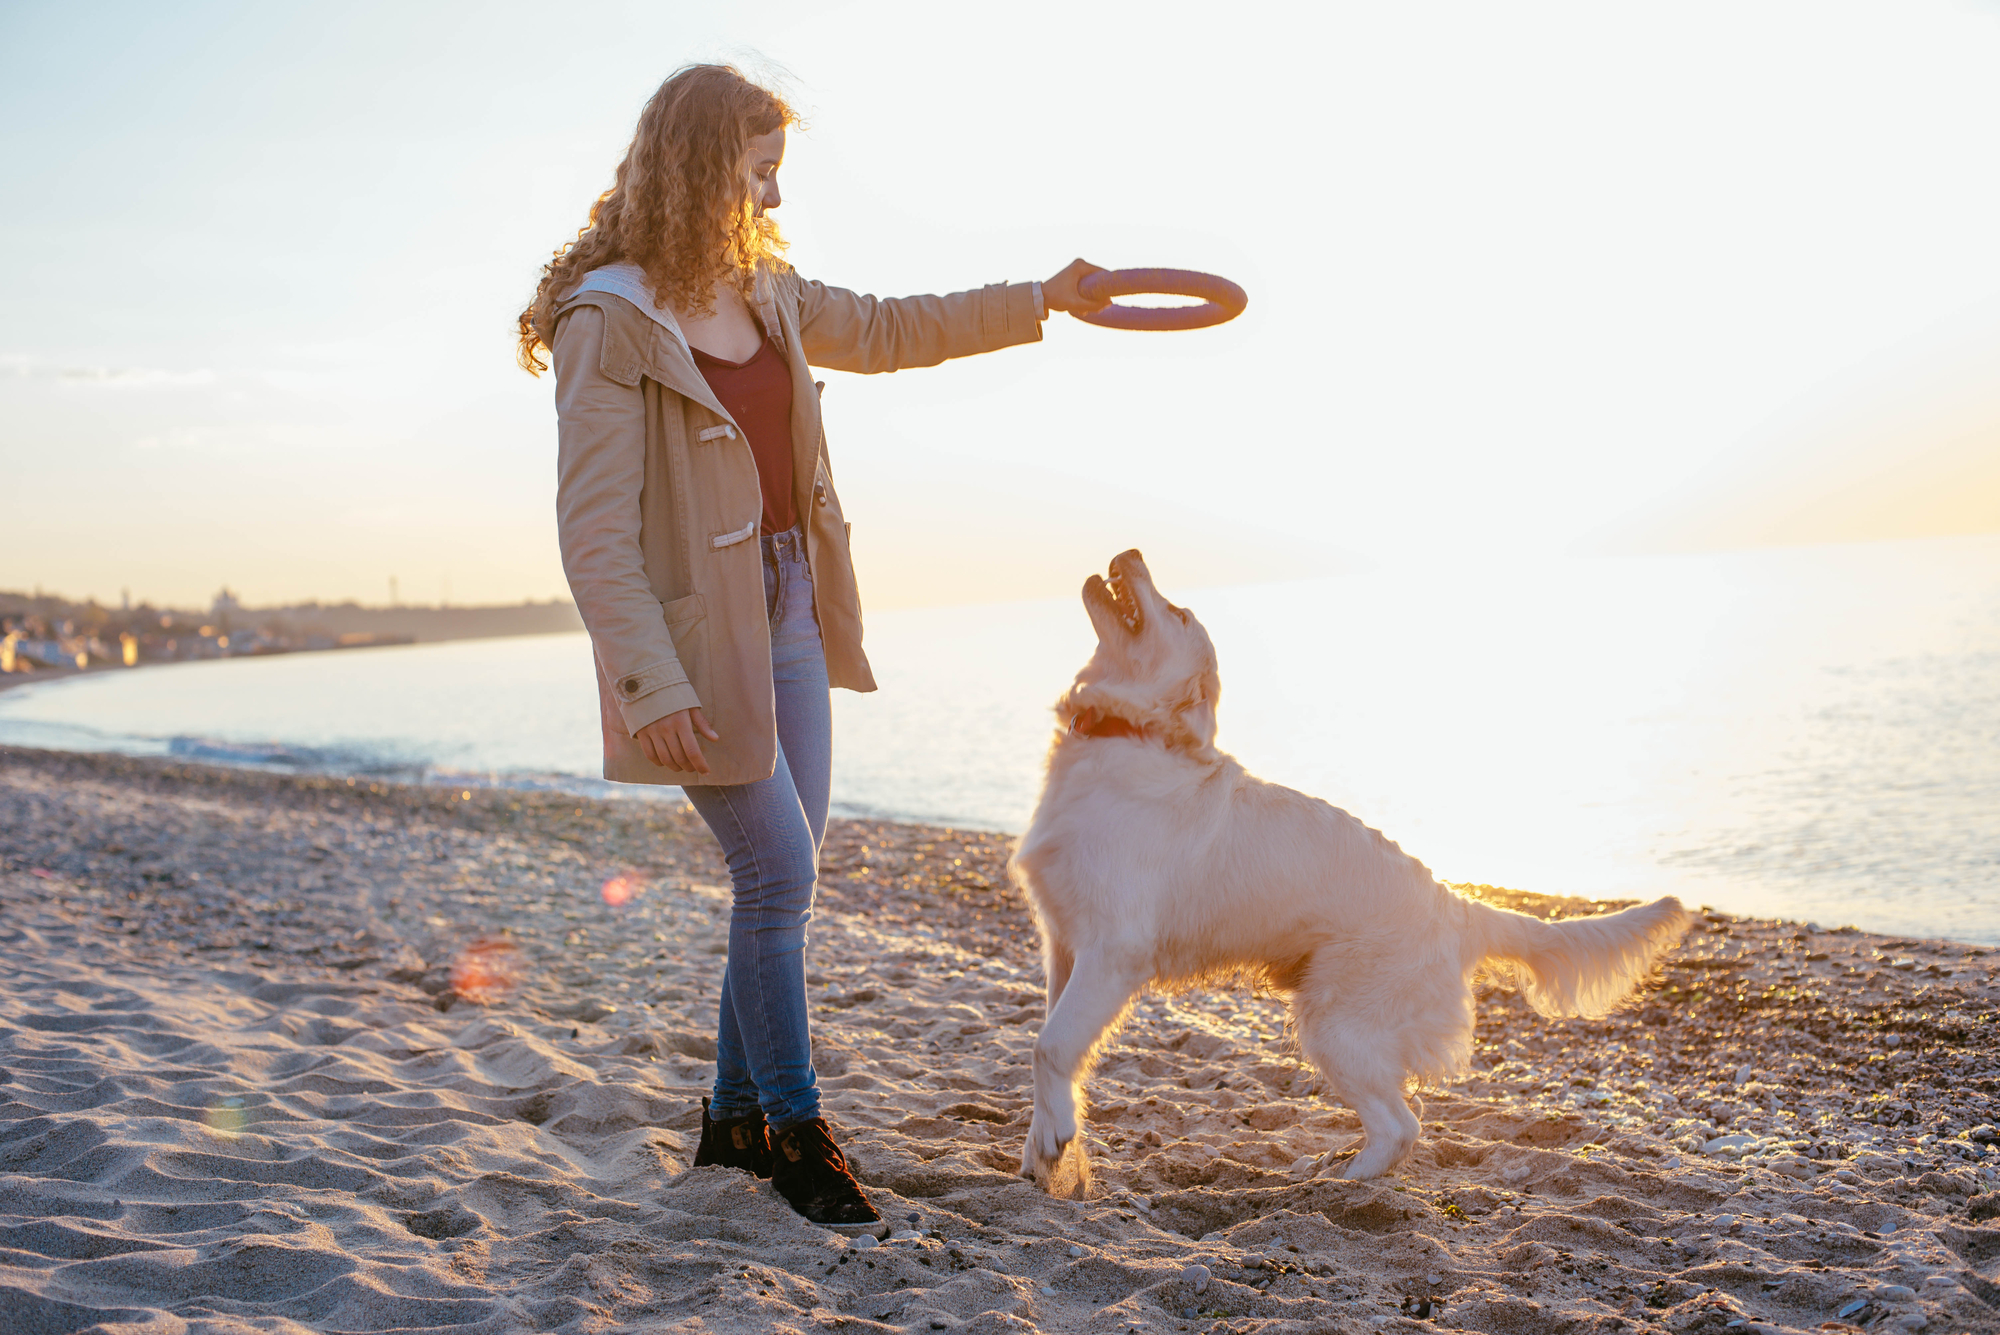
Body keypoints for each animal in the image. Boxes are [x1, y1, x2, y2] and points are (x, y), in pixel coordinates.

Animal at [1016, 547, 1688, 1191]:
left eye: (1178, 615)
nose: (1130, 550)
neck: (1125, 734)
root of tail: (1454, 903)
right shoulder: (1065, 947)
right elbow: (1050, 1044)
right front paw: (1042, 1155)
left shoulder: (1114, 951)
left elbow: (1050, 1046)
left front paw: (1055, 1141)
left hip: (1335, 1024)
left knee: (1402, 1125)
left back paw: (1341, 1180)